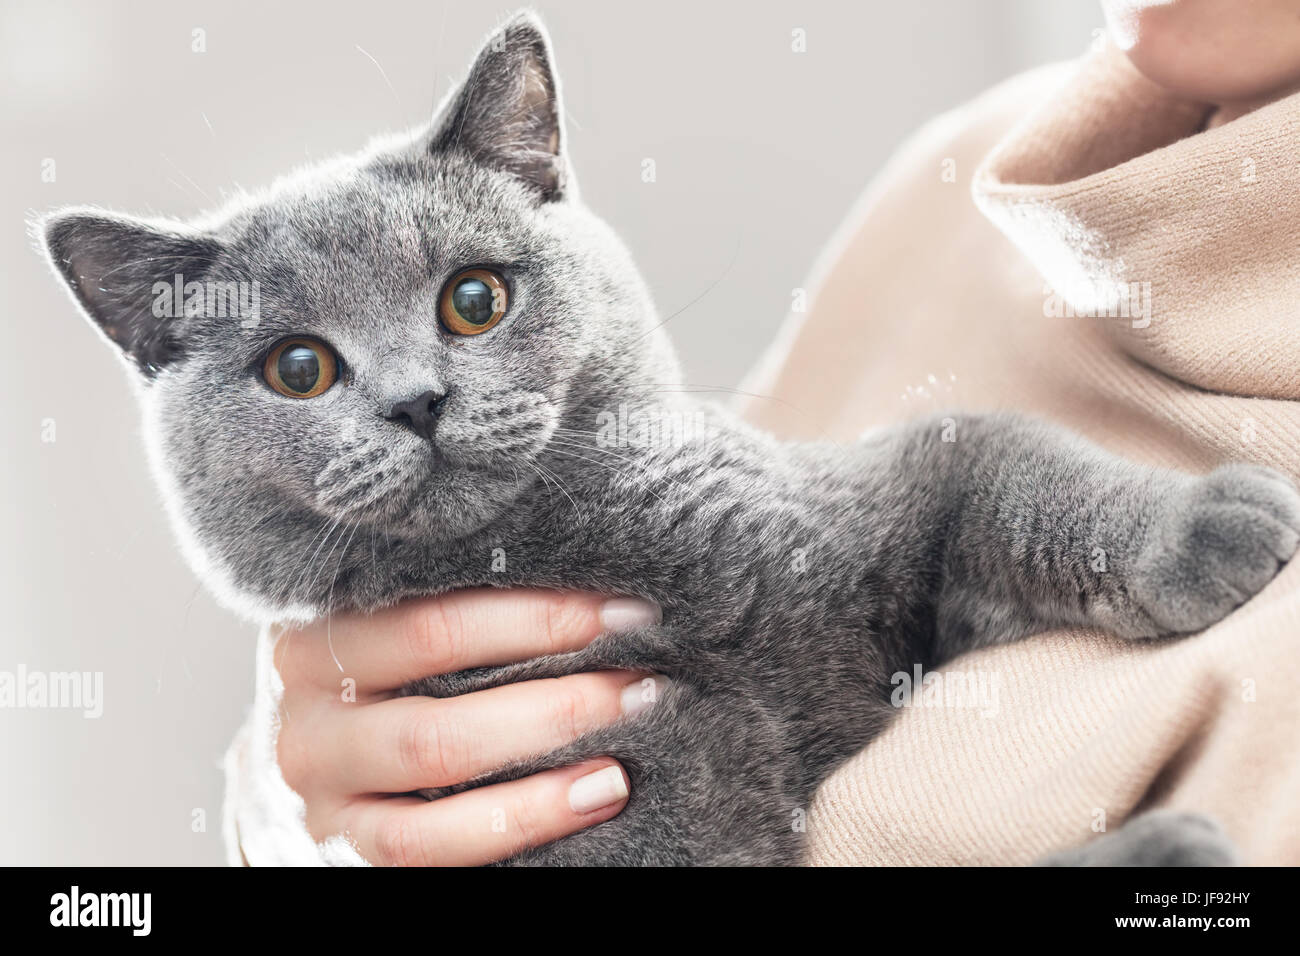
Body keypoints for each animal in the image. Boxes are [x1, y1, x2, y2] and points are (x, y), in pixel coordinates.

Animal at [38, 13, 1300, 868]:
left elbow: (1007, 459)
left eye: (473, 299)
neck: (629, 561)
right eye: (297, 368)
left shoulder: (876, 501)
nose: (414, 400)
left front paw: (1211, 523)